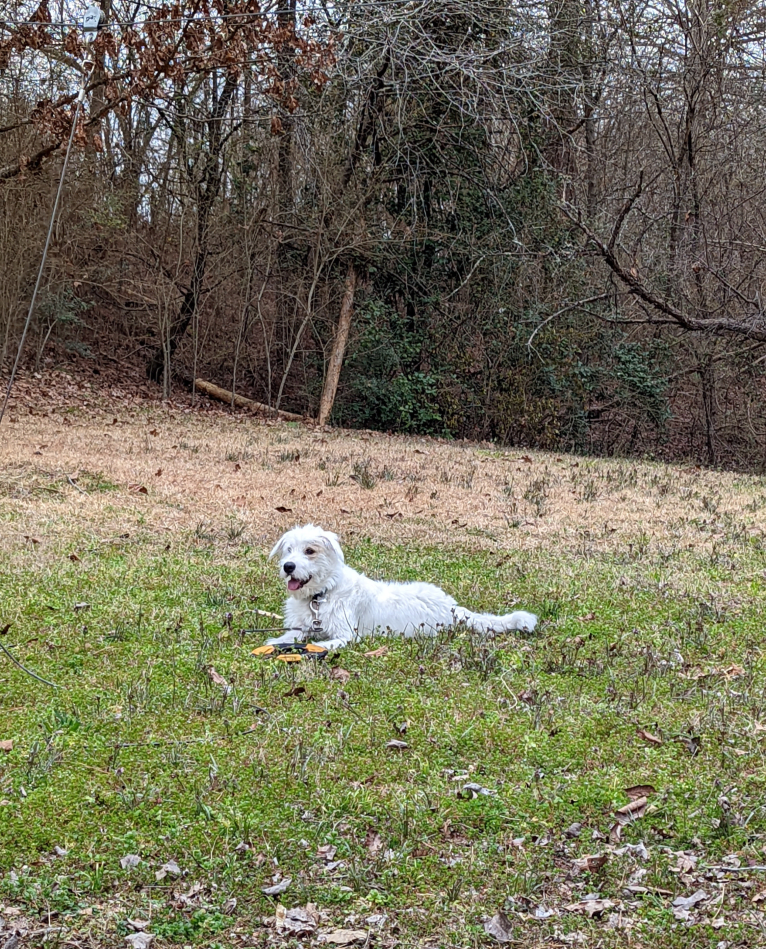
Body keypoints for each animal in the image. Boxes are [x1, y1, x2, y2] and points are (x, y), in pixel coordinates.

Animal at [268, 524, 536, 652]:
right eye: (288, 550)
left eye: (310, 550)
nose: (288, 567)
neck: (320, 595)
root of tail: (454, 608)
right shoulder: (301, 627)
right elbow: (287, 637)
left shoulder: (346, 634)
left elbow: (322, 644)